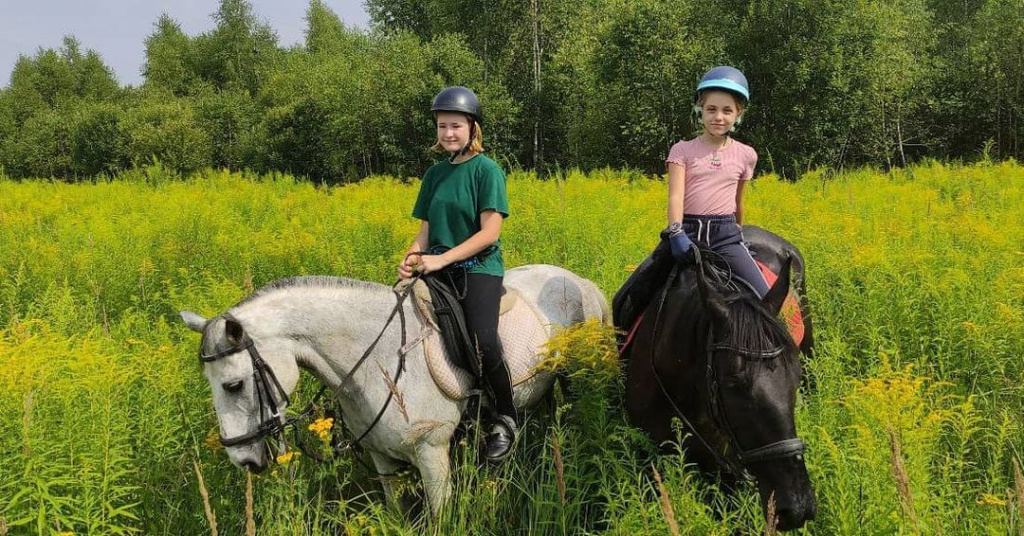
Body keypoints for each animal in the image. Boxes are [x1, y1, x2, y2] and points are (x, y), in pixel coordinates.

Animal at [180, 264, 606, 516]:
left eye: (233, 384)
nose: (244, 461)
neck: (377, 359)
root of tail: (578, 280)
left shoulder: (432, 455)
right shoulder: (382, 458)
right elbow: (396, 511)